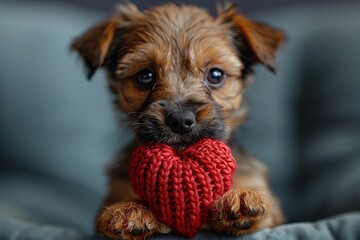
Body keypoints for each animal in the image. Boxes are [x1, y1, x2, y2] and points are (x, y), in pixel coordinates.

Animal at [71, 2, 284, 240]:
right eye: (145, 76)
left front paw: (242, 198)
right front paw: (126, 210)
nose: (181, 120)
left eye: (216, 75)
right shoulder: (118, 188)